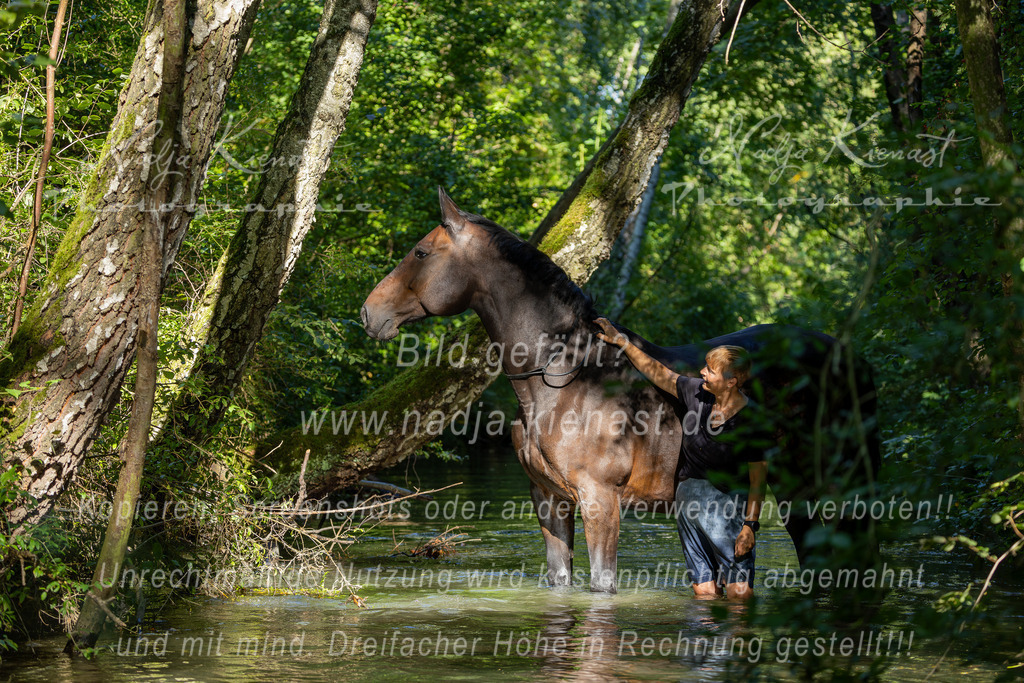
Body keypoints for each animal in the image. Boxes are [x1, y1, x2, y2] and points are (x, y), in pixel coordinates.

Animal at [361, 188, 880, 593]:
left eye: (421, 253)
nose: (369, 313)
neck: (562, 377)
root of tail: (849, 356)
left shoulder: (600, 501)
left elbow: (602, 586)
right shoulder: (550, 500)